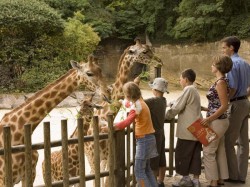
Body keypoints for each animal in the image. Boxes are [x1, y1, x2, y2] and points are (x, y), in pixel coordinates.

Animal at [0, 55, 105, 186]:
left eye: (100, 70)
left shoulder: (30, 174)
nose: (107, 92)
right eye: (89, 73)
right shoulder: (4, 178)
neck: (18, 131)